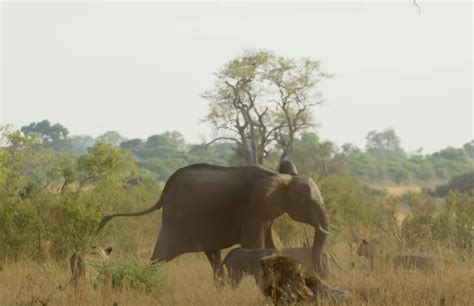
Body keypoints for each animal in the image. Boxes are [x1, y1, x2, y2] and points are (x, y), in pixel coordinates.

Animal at [96, 164, 330, 278]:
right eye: (308, 203)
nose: (320, 273)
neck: (282, 177)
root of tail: (164, 191)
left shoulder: (265, 213)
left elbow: (272, 244)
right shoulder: (252, 211)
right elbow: (254, 245)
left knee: (213, 256)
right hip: (176, 220)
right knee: (160, 256)